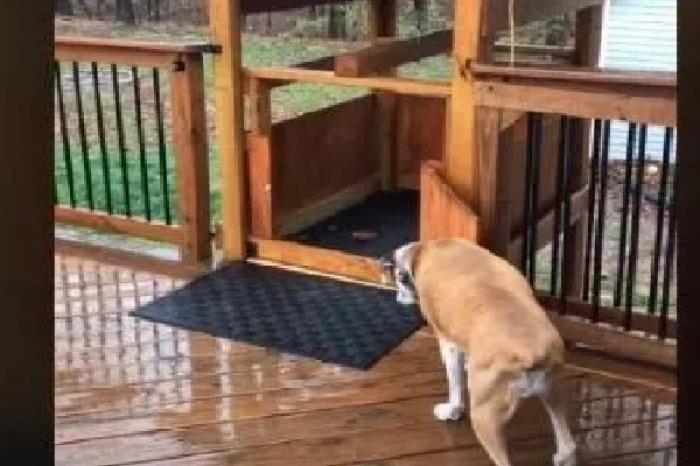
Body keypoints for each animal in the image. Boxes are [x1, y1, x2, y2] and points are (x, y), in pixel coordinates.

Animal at [380, 240, 576, 466]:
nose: (399, 297)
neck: (424, 251)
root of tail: (532, 354)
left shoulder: (448, 343)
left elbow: (455, 383)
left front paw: (453, 410)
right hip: (553, 392)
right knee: (568, 446)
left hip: (485, 417)